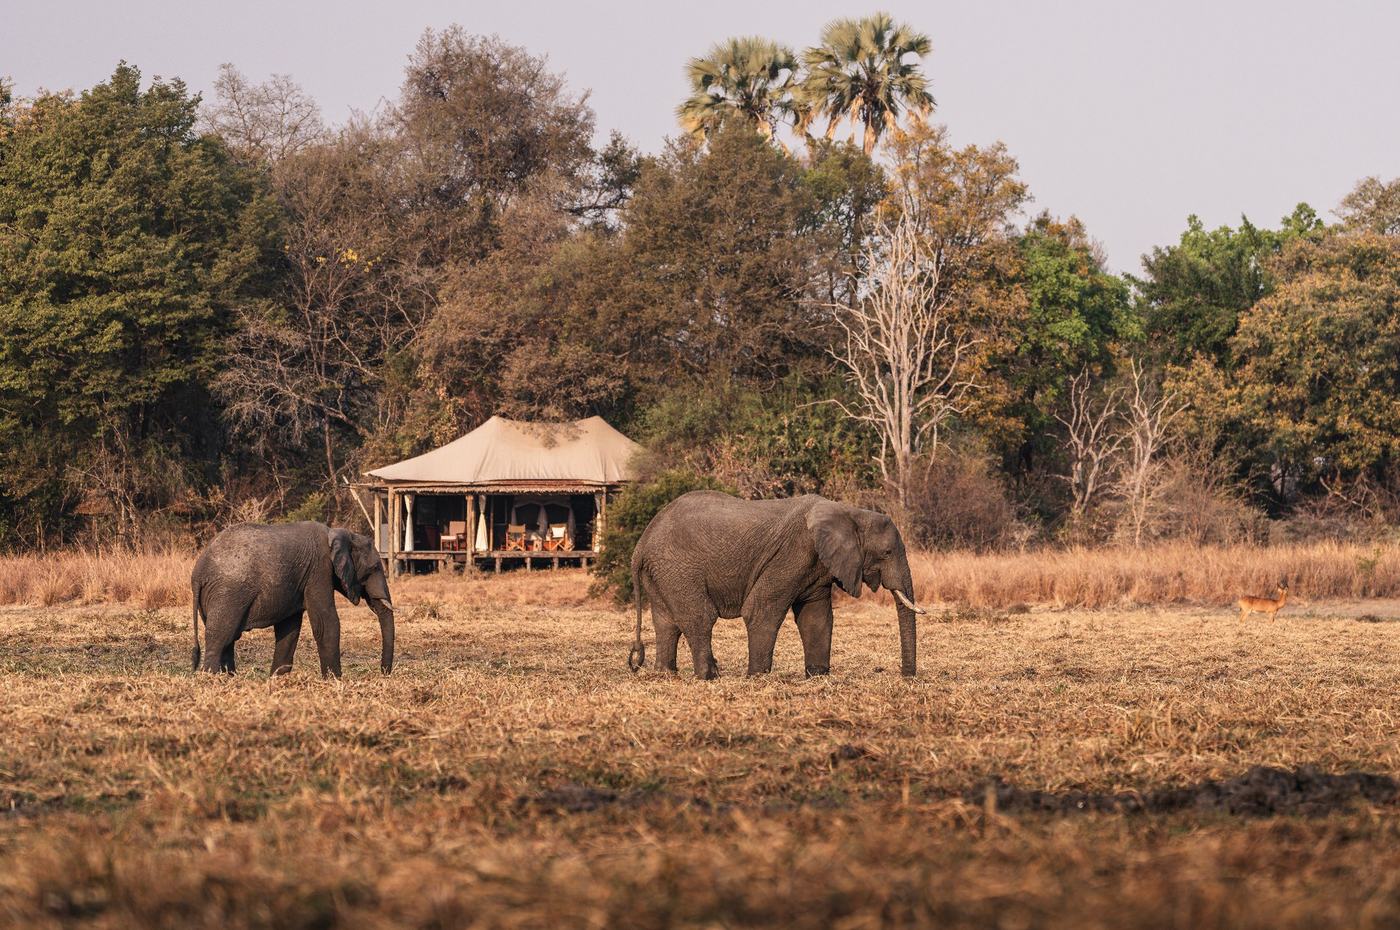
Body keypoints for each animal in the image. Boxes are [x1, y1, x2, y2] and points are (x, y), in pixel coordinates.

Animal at [191, 522, 394, 678]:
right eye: (375, 567)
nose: (383, 673)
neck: (340, 533)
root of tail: (198, 573)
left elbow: (289, 629)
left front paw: (277, 679)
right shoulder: (318, 570)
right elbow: (325, 623)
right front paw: (335, 680)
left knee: (228, 639)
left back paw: (230, 677)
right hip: (228, 594)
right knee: (220, 636)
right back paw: (212, 678)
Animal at [627, 491, 925, 679]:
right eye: (887, 552)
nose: (906, 676)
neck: (849, 512)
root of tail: (641, 543)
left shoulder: (816, 565)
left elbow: (816, 618)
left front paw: (817, 676)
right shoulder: (791, 554)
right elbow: (761, 612)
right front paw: (757, 677)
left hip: (661, 572)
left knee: (666, 622)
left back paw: (665, 674)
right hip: (678, 568)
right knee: (700, 617)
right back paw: (710, 676)